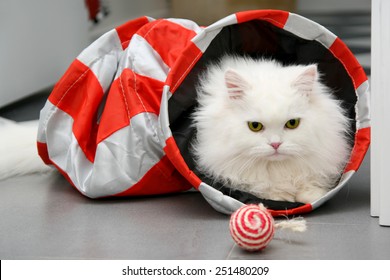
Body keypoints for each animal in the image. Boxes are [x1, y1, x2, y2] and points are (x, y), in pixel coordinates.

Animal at [193, 55, 352, 202]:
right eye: (255, 126)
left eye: (292, 123)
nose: (276, 144)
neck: (277, 168)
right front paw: (282, 197)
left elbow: (310, 182)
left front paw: (312, 196)